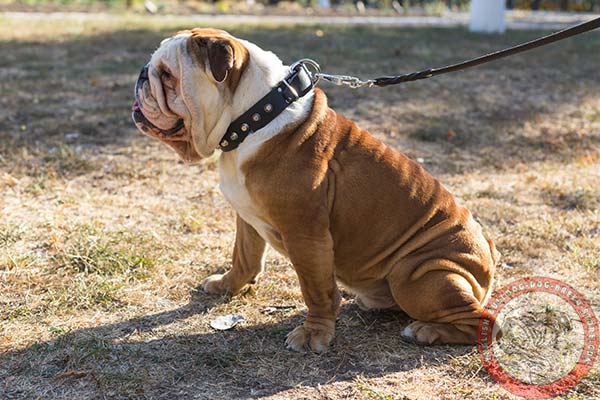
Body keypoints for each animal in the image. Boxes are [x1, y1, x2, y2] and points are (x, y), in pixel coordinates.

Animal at [132, 28, 502, 354]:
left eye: (167, 75)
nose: (141, 75)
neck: (255, 116)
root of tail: (489, 250)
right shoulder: (246, 218)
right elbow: (244, 258)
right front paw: (226, 286)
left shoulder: (306, 234)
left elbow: (316, 289)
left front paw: (314, 333)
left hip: (419, 276)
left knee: (487, 323)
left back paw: (426, 330)